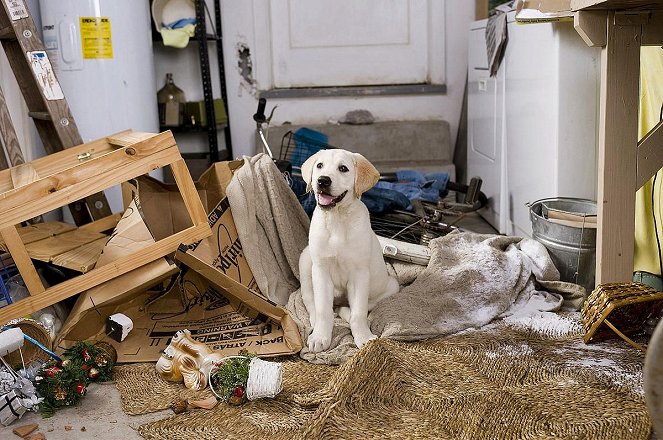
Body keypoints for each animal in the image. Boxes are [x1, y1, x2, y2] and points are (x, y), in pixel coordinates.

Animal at [300, 150, 400, 352]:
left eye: (343, 169)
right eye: (319, 166)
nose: (322, 180)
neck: (337, 219)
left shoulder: (359, 274)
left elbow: (359, 312)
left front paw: (364, 336)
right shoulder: (321, 270)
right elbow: (323, 309)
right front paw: (321, 336)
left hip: (391, 285)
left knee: (356, 307)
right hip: (305, 262)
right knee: (310, 300)